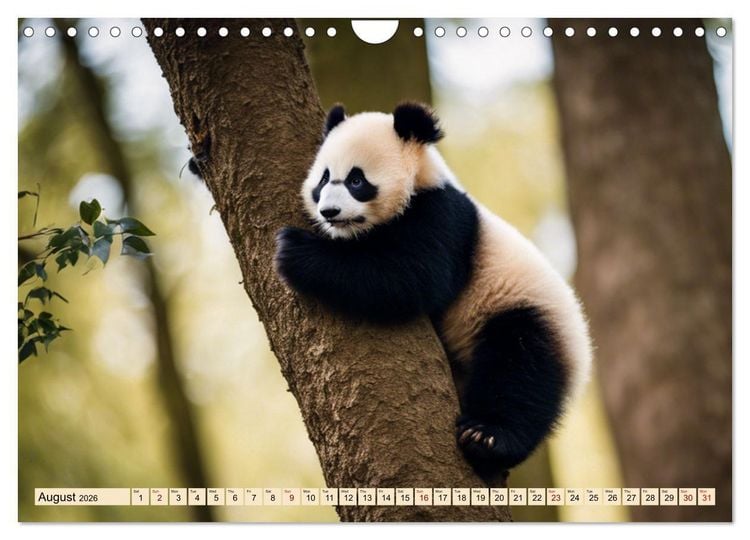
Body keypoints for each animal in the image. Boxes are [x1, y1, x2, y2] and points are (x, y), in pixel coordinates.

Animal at [275, 102, 593, 482]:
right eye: (323, 179)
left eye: (356, 180)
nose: (329, 212)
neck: (421, 179)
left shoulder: (443, 219)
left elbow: (407, 278)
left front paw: (295, 250)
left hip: (526, 312)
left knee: (520, 373)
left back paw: (487, 440)